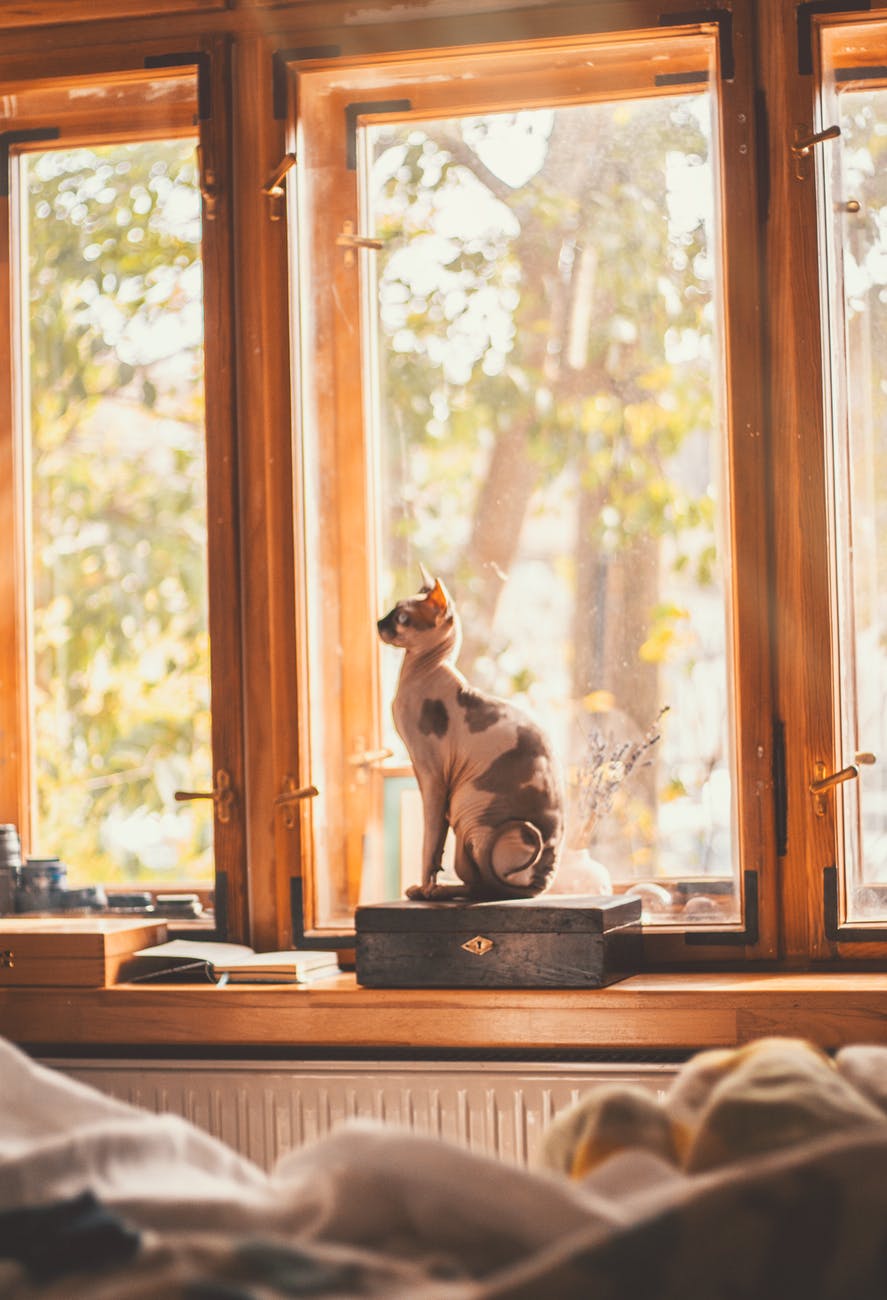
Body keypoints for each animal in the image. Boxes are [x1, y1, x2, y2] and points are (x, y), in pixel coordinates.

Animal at [374, 574, 559, 899]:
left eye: (401, 618)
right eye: (392, 611)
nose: (378, 623)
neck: (419, 670)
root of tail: (541, 881)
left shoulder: (432, 774)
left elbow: (429, 839)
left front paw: (425, 886)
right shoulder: (423, 772)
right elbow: (437, 846)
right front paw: (426, 885)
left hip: (470, 810)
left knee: (484, 888)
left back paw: (433, 892)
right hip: (462, 816)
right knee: (475, 881)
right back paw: (440, 889)